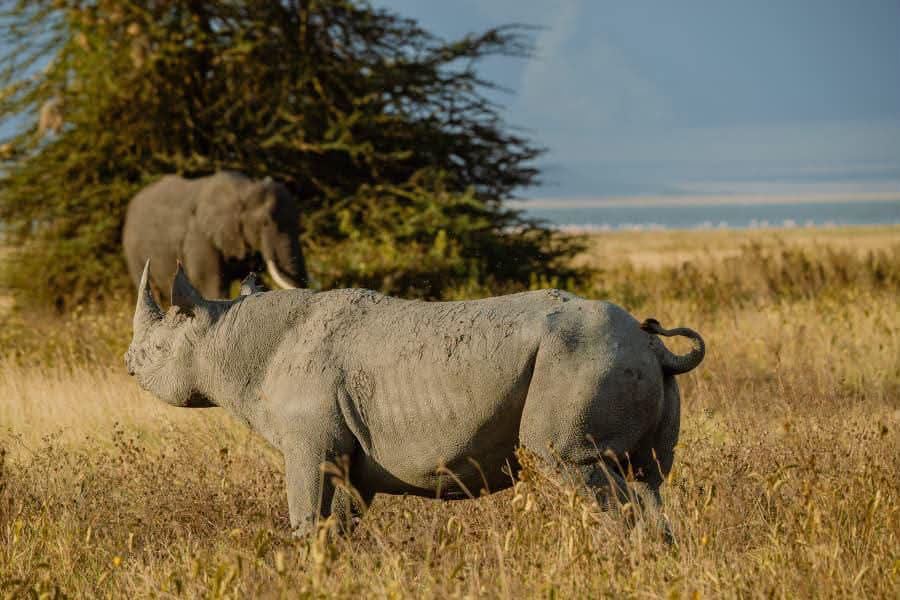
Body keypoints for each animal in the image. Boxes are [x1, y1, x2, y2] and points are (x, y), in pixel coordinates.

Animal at [125, 262, 705, 540]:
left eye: (154, 350)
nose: (128, 363)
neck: (227, 337)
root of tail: (653, 345)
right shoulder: (348, 453)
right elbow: (339, 525)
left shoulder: (310, 444)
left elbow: (306, 517)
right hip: (623, 361)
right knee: (647, 478)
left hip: (582, 358)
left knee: (573, 464)